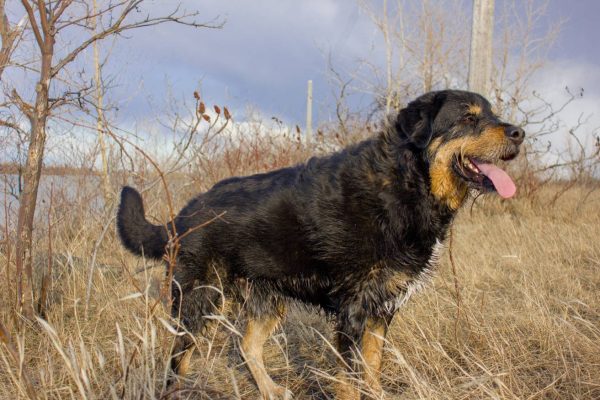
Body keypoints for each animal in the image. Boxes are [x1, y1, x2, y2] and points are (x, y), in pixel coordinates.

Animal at [117, 90, 524, 400]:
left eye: (492, 114)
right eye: (468, 118)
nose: (520, 133)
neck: (406, 183)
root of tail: (183, 215)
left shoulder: (382, 308)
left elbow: (373, 368)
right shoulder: (354, 310)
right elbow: (350, 377)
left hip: (267, 301)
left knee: (248, 347)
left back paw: (270, 390)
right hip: (197, 301)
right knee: (178, 360)